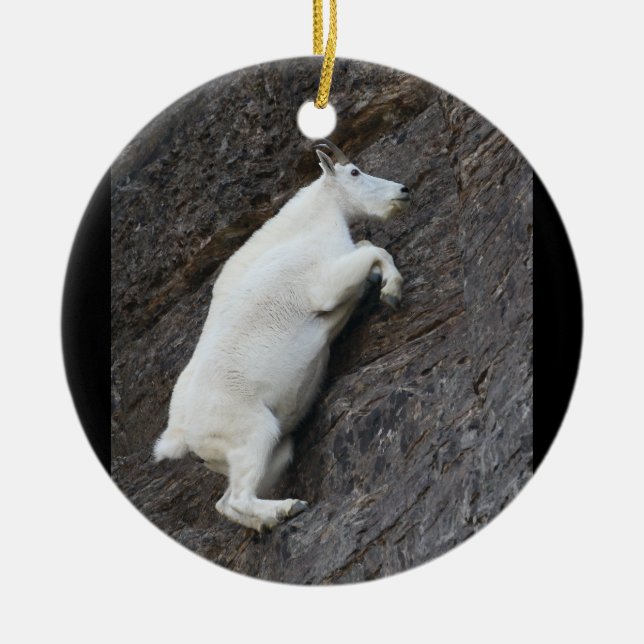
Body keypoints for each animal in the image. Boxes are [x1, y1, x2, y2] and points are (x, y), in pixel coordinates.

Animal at [154, 140, 410, 532]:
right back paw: (287, 508)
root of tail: (181, 436)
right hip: (252, 433)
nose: (403, 191)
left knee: (227, 502)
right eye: (354, 172)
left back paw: (268, 519)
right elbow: (374, 250)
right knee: (237, 497)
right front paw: (392, 292)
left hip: (273, 448)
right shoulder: (325, 285)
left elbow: (369, 248)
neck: (309, 230)